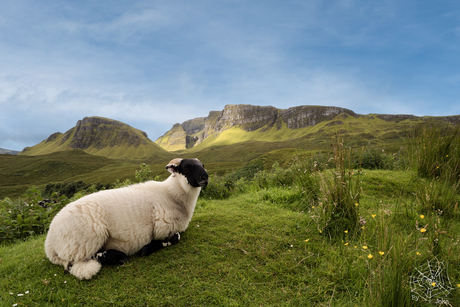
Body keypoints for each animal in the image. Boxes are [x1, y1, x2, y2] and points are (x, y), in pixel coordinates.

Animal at [43, 159, 208, 282]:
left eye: (202, 165)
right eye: (187, 167)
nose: (205, 178)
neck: (171, 195)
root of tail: (49, 243)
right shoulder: (163, 229)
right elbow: (175, 237)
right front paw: (147, 248)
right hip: (85, 241)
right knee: (76, 264)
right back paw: (119, 256)